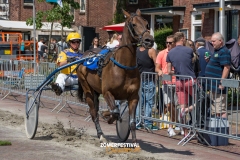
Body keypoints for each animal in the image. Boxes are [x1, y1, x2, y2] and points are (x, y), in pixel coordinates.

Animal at [77, 9, 154, 142]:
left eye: (147, 24)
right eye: (133, 24)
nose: (149, 40)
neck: (124, 67)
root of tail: (84, 55)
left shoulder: (133, 97)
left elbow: (131, 122)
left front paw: (134, 142)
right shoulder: (107, 92)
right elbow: (116, 112)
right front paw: (109, 117)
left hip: (95, 90)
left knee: (97, 108)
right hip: (87, 89)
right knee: (94, 112)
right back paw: (101, 134)